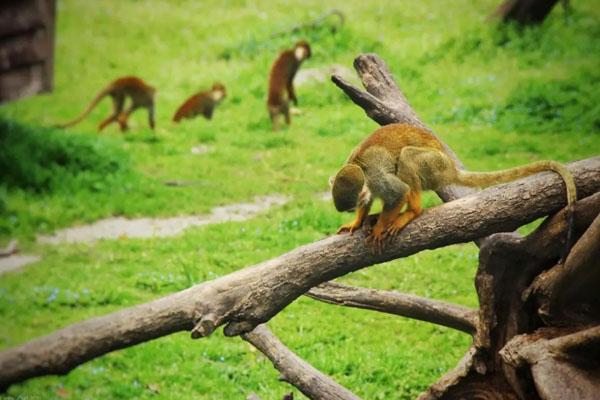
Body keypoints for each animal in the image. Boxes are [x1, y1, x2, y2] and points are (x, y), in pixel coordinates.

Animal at [330, 123, 580, 252]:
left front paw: (380, 227)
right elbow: (372, 198)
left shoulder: (376, 177)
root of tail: (450, 167)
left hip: (434, 165)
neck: (359, 166)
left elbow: (398, 192)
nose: (353, 211)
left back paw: (411, 212)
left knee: (407, 157)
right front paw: (359, 220)